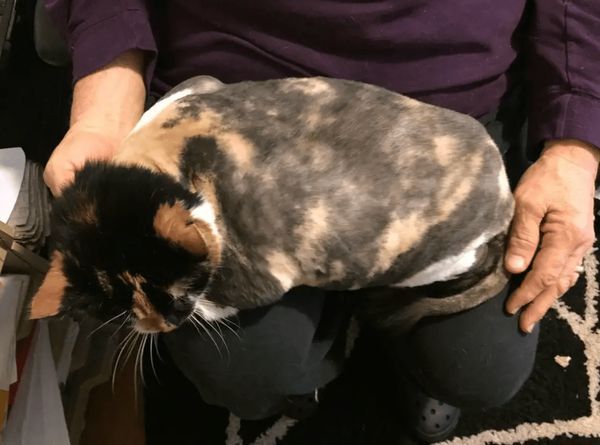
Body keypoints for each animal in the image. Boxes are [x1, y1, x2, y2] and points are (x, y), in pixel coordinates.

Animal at [30, 76, 512, 332]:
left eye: (176, 292)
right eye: (116, 301)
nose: (163, 324)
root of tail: (506, 197)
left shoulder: (253, 279)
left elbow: (215, 304)